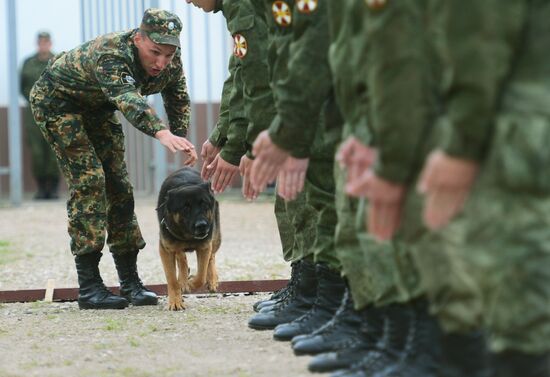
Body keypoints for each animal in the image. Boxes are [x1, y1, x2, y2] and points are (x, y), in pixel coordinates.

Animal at [156, 167, 221, 308]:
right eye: (185, 208)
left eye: (204, 204)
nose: (202, 226)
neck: (187, 236)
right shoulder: (165, 250)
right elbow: (172, 279)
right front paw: (175, 301)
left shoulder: (204, 246)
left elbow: (201, 276)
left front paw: (191, 283)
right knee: (181, 257)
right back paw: (183, 280)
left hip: (216, 238)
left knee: (212, 256)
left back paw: (211, 279)